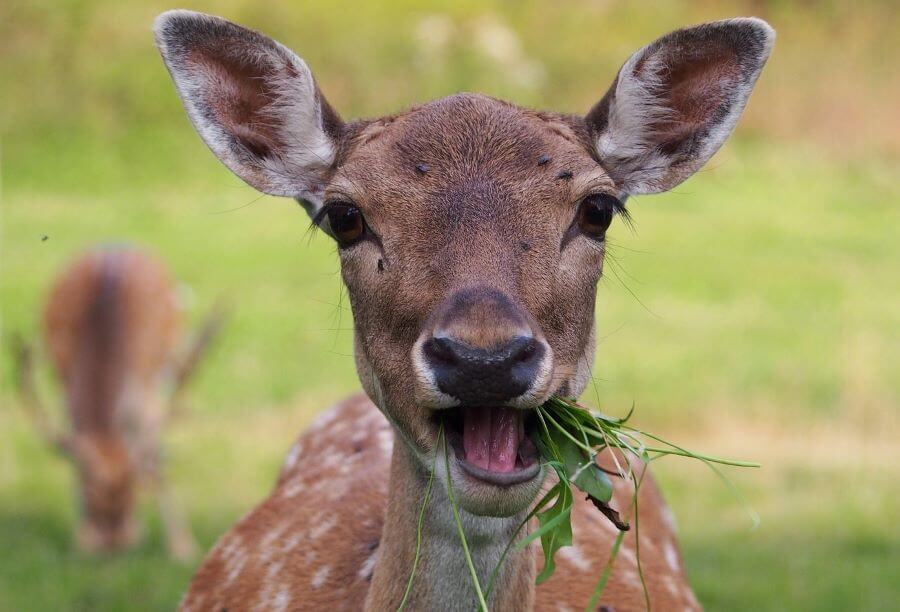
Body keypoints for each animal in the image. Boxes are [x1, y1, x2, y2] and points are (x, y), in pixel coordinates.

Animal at [11, 245, 224, 560]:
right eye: (91, 496)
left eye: (130, 494)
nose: (115, 544)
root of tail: (113, 246)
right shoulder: (64, 381)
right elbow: (75, 446)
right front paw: (82, 539)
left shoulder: (146, 382)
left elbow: (152, 452)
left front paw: (182, 546)